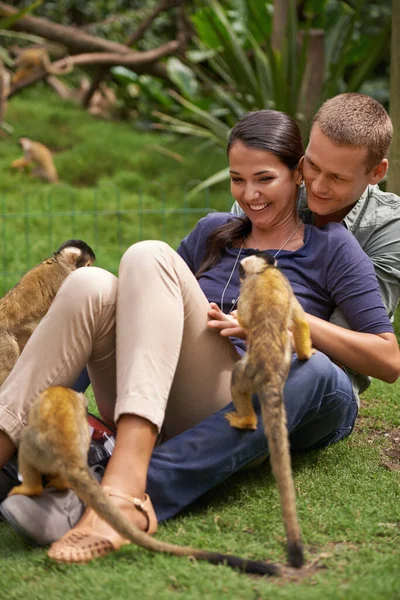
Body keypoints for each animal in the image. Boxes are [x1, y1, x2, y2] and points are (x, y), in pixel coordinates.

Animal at [227, 251, 314, 568]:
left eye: (241, 272)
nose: (239, 275)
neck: (265, 271)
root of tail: (270, 376)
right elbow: (300, 321)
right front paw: (308, 352)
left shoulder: (248, 289)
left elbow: (245, 316)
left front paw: (237, 320)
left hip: (248, 372)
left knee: (237, 379)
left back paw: (245, 421)